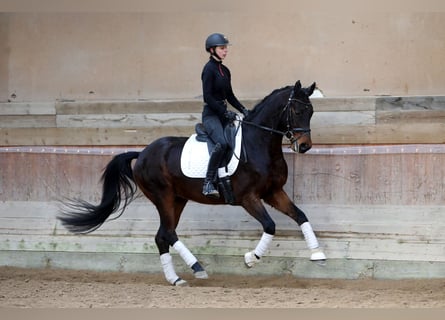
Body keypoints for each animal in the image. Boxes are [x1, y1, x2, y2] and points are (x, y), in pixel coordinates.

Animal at [57, 81, 324, 286]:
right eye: (296, 111)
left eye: (311, 111)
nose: (304, 146)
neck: (259, 144)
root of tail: (142, 153)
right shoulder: (248, 198)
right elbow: (269, 225)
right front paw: (250, 258)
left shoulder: (273, 192)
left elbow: (301, 216)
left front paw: (317, 253)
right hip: (162, 196)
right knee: (168, 232)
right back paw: (197, 268)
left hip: (178, 199)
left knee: (161, 236)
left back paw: (175, 279)